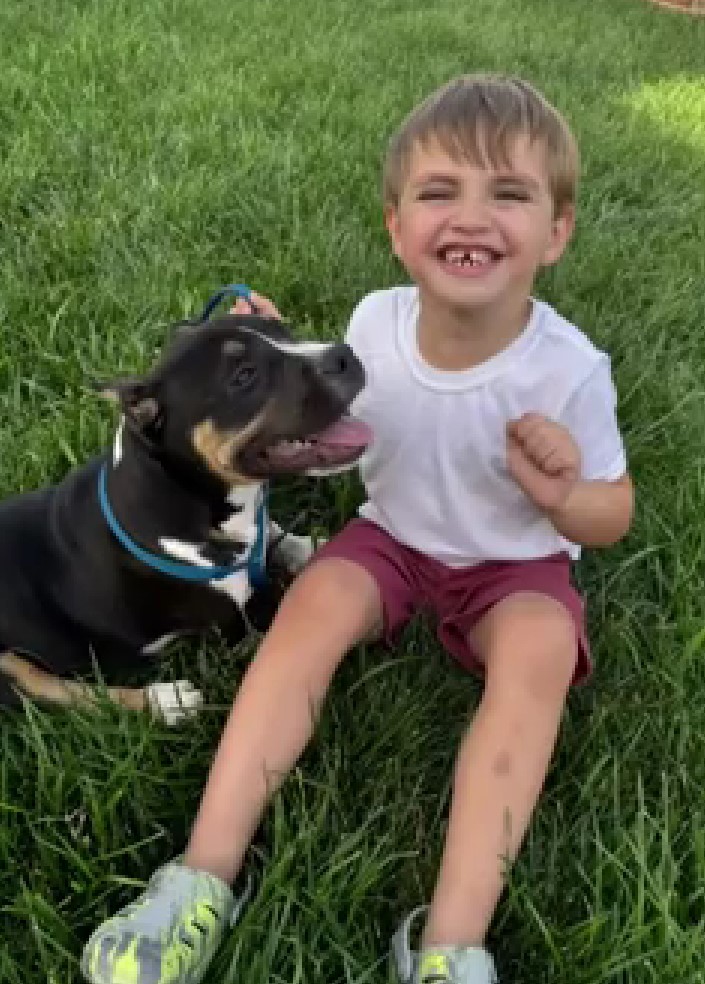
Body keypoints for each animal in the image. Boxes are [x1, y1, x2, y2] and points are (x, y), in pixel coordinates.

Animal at [0, 308, 368, 724]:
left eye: (282, 329)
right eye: (244, 375)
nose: (344, 354)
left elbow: (275, 533)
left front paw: (311, 545)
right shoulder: (238, 628)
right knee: (49, 689)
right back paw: (166, 700)